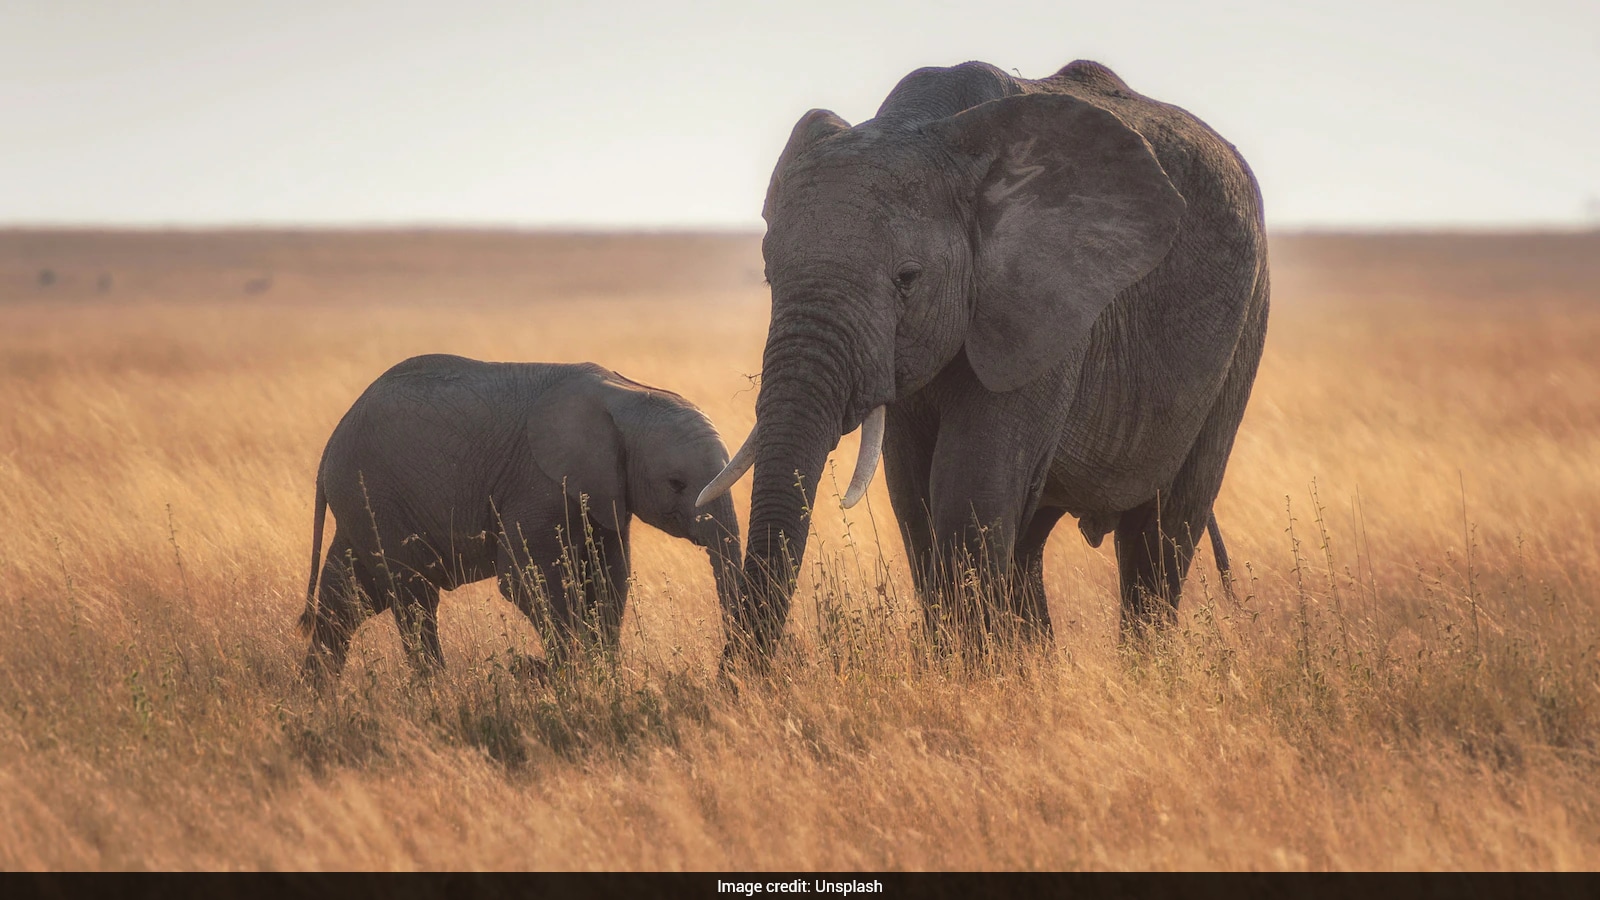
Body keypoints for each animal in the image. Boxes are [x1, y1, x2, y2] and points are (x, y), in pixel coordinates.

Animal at [298, 354, 742, 677]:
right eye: (676, 483)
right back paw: (437, 691)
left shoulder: (603, 491)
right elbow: (526, 580)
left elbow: (608, 578)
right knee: (413, 595)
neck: (627, 394)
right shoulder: (536, 481)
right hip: (375, 495)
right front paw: (569, 676)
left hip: (363, 505)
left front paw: (602, 676)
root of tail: (329, 447)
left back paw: (317, 696)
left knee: (347, 599)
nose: (727, 670)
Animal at [698, 59, 1268, 656]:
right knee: (1031, 540)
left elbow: (969, 490)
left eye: (907, 279)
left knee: (1163, 531)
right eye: (769, 275)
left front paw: (971, 670)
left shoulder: (1046, 305)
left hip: (1245, 325)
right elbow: (914, 497)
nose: (740, 675)